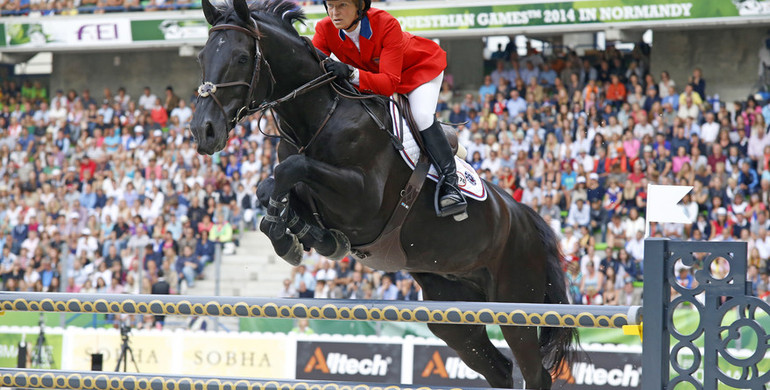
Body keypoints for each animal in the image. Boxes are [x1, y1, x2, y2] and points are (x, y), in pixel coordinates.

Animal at [190, 1, 576, 388]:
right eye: (201, 56)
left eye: (242, 57)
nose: (202, 131)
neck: (319, 116)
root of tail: (526, 218)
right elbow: (270, 186)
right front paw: (295, 235)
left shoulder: (363, 201)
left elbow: (291, 169)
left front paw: (307, 238)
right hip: (454, 312)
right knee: (497, 368)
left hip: (516, 305)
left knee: (535, 371)